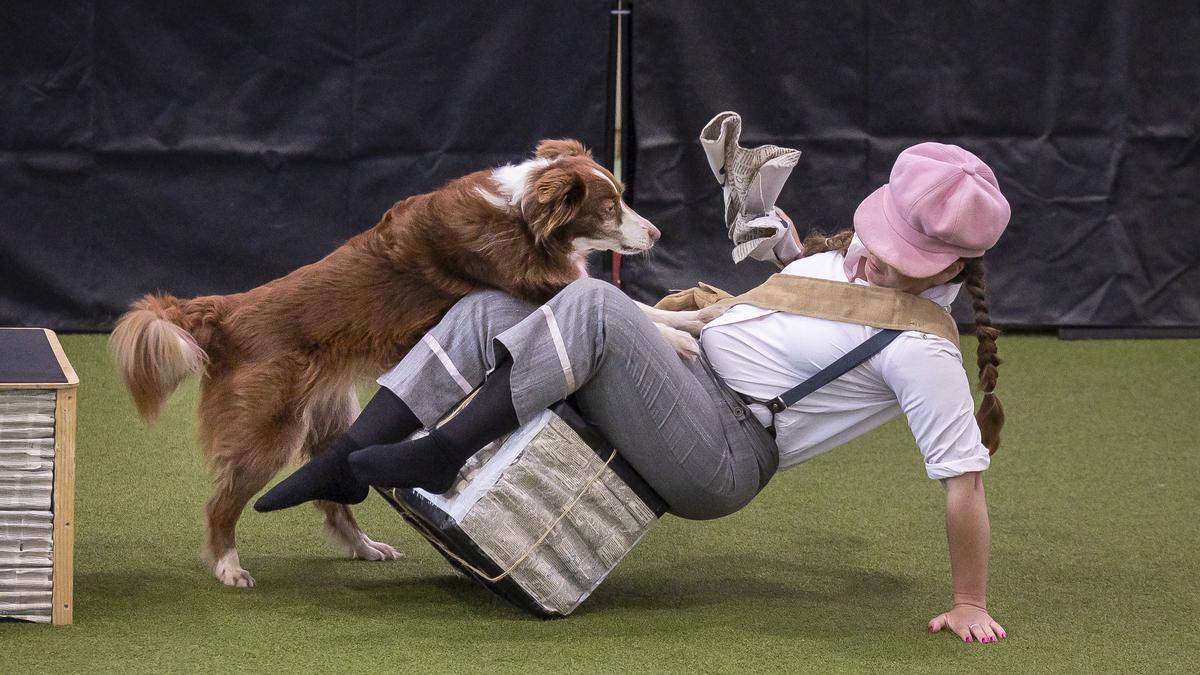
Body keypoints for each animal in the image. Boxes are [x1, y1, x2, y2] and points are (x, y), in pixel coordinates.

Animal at [110, 140, 700, 583]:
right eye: (609, 207)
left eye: (622, 198)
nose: (658, 233)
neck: (522, 217)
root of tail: (227, 311)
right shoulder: (535, 292)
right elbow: (626, 306)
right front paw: (682, 337)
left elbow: (635, 302)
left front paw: (697, 315)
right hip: (267, 428)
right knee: (221, 503)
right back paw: (229, 567)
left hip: (329, 415)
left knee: (331, 494)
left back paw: (365, 547)